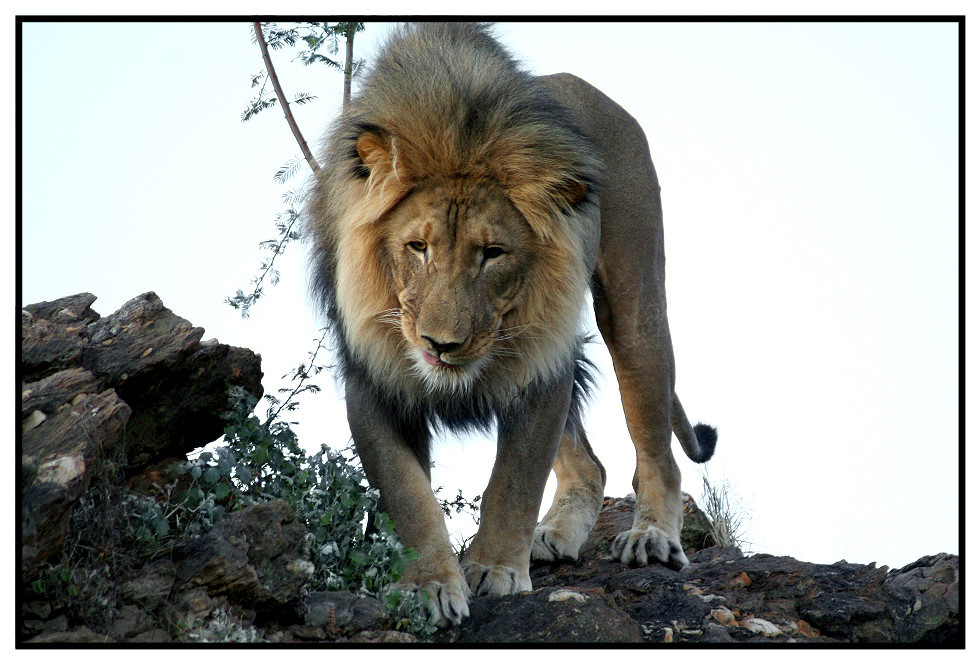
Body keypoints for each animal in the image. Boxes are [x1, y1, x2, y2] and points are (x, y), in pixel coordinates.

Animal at [308, 22, 720, 628]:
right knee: (590, 466)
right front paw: (429, 586)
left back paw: (651, 536)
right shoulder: (371, 376)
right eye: (418, 247)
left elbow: (515, 480)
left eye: (492, 253)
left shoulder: (543, 364)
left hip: (635, 307)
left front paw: (497, 570)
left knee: (656, 447)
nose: (440, 344)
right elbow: (406, 495)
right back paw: (557, 536)